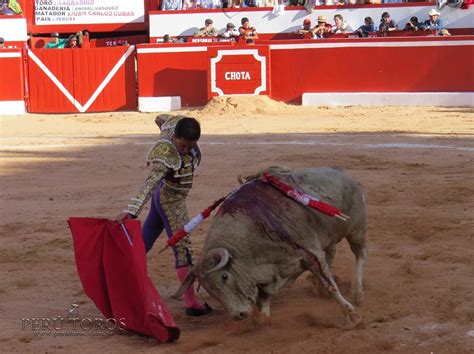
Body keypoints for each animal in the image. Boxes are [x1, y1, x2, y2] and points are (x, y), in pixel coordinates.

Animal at [176, 167, 368, 324]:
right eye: (208, 289)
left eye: (224, 276)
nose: (238, 315)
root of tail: (345, 175)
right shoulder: (274, 270)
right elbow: (263, 301)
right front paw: (263, 320)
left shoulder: (311, 254)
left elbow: (331, 285)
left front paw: (352, 315)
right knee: (332, 251)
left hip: (356, 230)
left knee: (360, 254)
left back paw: (358, 293)